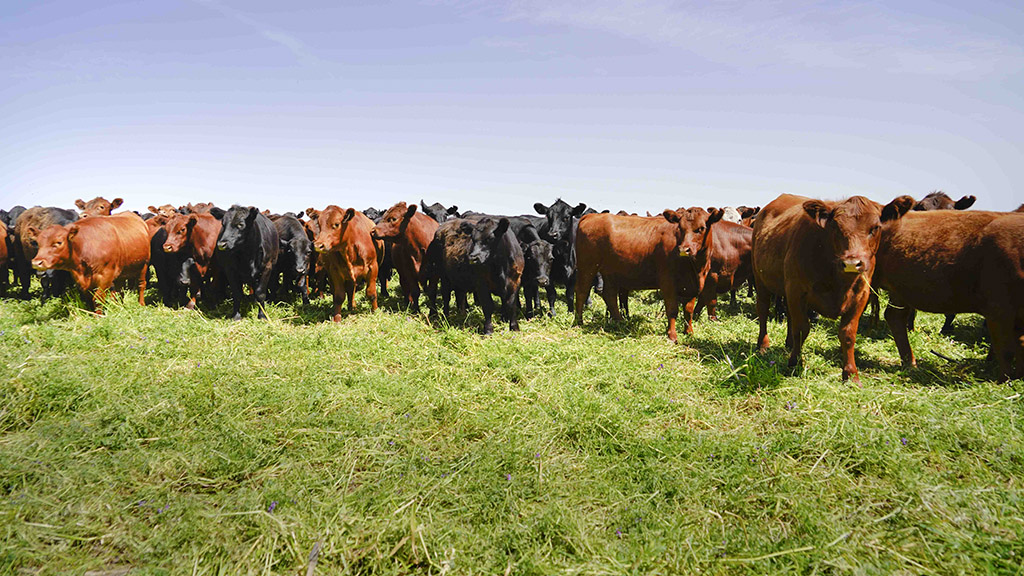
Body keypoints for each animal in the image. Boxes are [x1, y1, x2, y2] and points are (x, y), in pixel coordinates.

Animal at [573, 207, 724, 338]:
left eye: (701, 228)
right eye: (680, 228)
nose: (683, 249)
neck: (696, 268)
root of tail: (592, 216)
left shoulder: (692, 286)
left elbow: (688, 311)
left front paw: (689, 332)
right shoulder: (667, 282)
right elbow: (672, 309)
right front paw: (672, 335)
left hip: (610, 272)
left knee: (609, 295)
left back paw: (620, 322)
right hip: (587, 266)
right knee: (581, 292)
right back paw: (578, 322)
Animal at [749, 193, 917, 381]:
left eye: (875, 227)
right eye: (835, 227)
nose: (852, 263)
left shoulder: (861, 294)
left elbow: (848, 334)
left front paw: (851, 375)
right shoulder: (796, 289)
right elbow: (801, 329)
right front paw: (794, 363)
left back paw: (789, 344)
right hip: (760, 279)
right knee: (763, 310)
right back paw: (763, 345)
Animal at [872, 208, 1024, 379]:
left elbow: (1019, 344)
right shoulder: (998, 309)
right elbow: (1005, 350)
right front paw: (1004, 380)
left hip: (899, 290)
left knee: (894, 316)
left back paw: (910, 364)